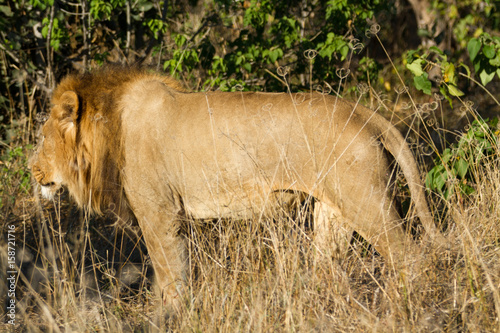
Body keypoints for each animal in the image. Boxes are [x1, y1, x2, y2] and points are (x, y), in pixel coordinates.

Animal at [30, 64, 446, 308]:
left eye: (43, 137)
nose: (30, 168)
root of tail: (366, 113)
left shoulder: (159, 212)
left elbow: (169, 271)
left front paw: (170, 314)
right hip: (334, 210)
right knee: (329, 264)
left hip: (367, 202)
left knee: (411, 255)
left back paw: (402, 306)